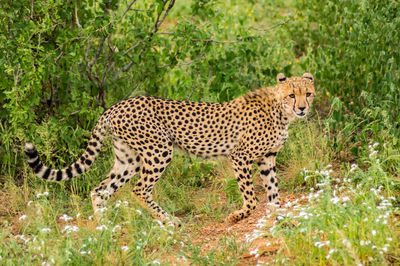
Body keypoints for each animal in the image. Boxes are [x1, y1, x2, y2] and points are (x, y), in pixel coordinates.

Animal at [25, 72, 316, 224]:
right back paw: (169, 220)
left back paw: (103, 226)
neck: (281, 111)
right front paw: (238, 215)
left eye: (308, 93)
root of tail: (115, 106)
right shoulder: (240, 156)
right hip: (159, 150)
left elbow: (273, 190)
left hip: (128, 159)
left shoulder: (268, 158)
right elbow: (251, 196)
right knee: (140, 189)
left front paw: (278, 216)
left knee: (100, 189)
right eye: (292, 95)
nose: (302, 108)